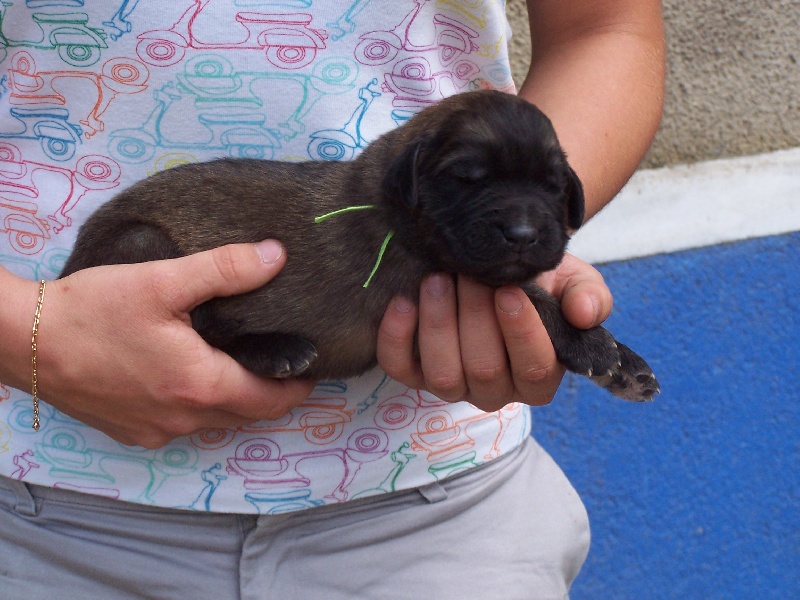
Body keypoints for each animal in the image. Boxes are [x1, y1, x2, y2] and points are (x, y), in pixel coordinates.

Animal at [61, 90, 660, 401]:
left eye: (553, 186)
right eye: (468, 179)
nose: (523, 234)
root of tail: (67, 271)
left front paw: (625, 363)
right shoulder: (440, 276)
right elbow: (535, 301)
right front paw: (593, 343)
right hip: (142, 241)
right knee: (208, 326)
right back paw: (275, 349)